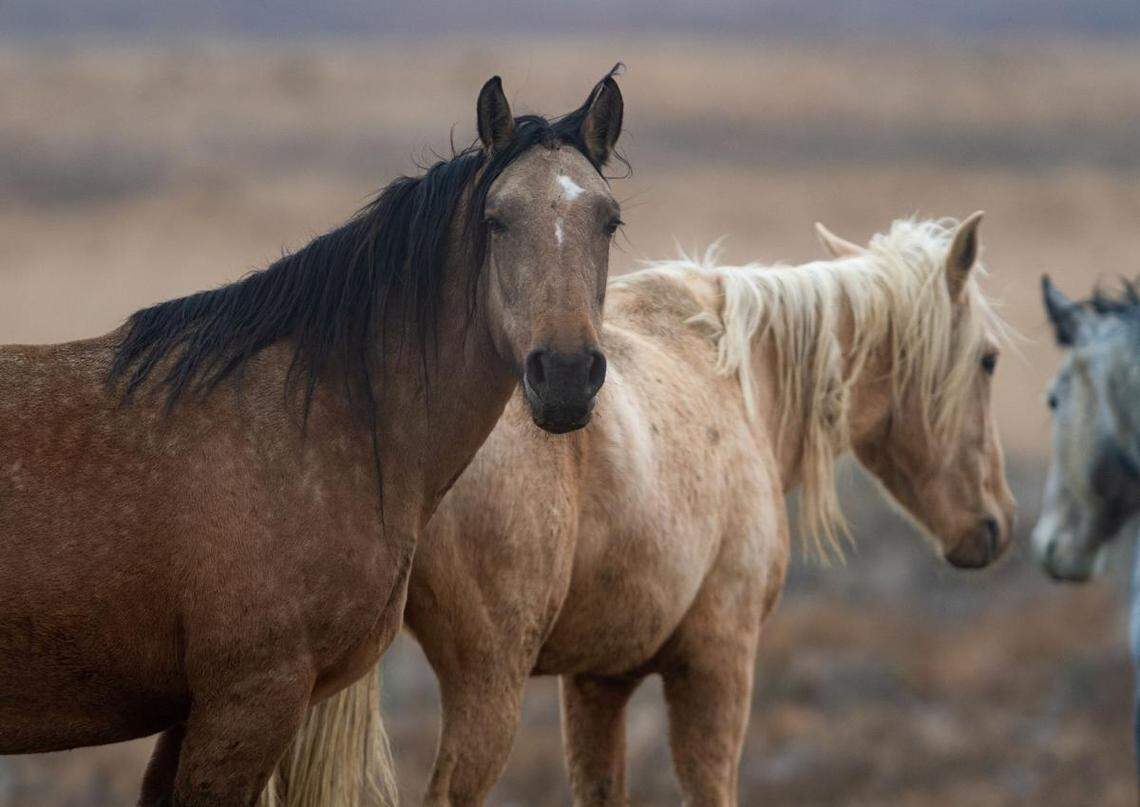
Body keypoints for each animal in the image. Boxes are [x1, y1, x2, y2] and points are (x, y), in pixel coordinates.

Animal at [0, 68, 625, 807]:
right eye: (496, 219)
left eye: (609, 220)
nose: (566, 374)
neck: (317, 422)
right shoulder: (247, 703)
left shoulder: (192, 715)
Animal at [279, 213, 1016, 806]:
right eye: (987, 360)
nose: (996, 525)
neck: (743, 379)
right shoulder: (718, 661)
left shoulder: (599, 679)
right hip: (487, 682)